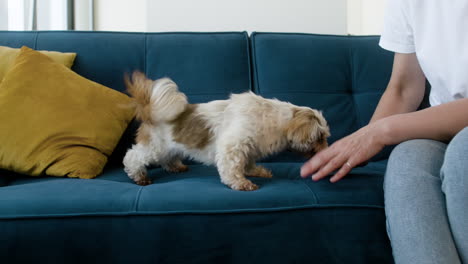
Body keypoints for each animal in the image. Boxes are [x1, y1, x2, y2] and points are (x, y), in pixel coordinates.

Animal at [123, 71, 330, 191]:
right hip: (155, 146)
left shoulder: (249, 147)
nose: (325, 150)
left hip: (170, 147)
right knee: (133, 157)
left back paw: (175, 166)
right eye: (320, 138)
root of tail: (149, 108)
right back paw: (140, 177)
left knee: (168, 158)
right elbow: (233, 169)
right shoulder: (233, 146)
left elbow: (248, 163)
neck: (276, 120)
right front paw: (242, 183)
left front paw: (256, 171)